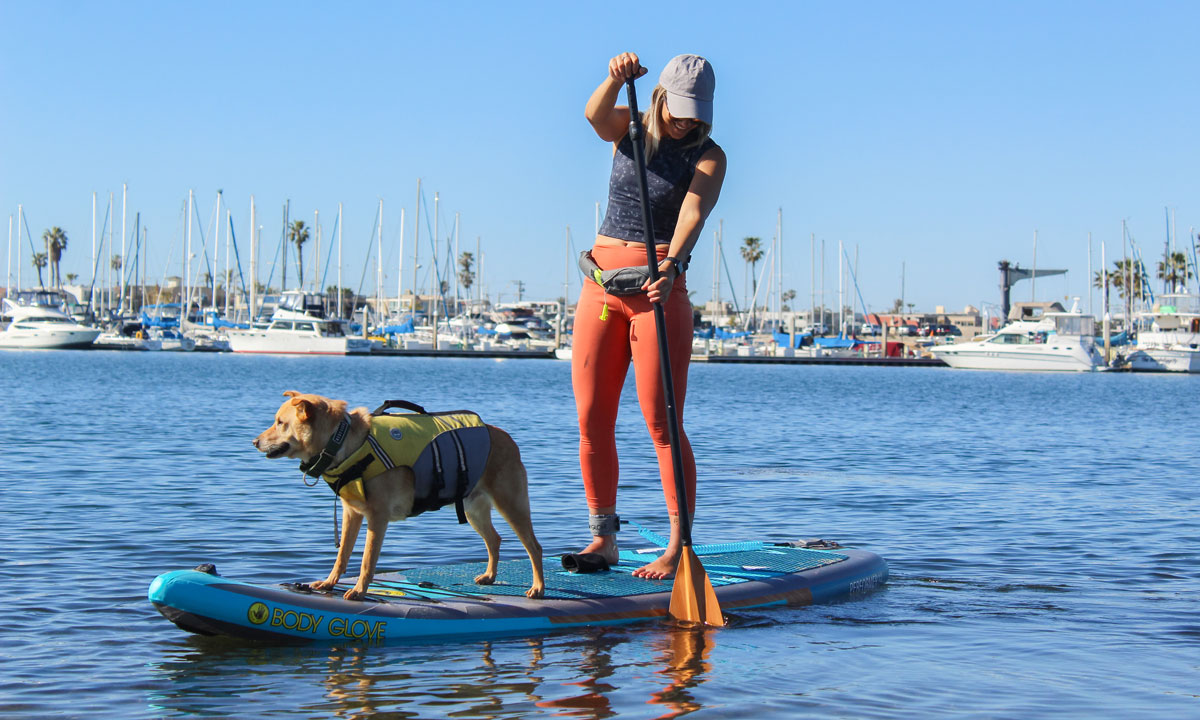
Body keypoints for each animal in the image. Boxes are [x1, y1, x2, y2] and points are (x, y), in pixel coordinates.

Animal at [258, 391, 549, 600]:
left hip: (511, 504)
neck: (344, 444)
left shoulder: (377, 517)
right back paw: (490, 576)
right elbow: (342, 557)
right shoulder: (352, 513)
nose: (255, 442)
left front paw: (360, 591)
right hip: (473, 509)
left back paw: (538, 588)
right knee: (494, 540)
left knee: (534, 547)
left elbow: (367, 560)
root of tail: (507, 438)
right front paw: (330, 584)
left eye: (280, 423)